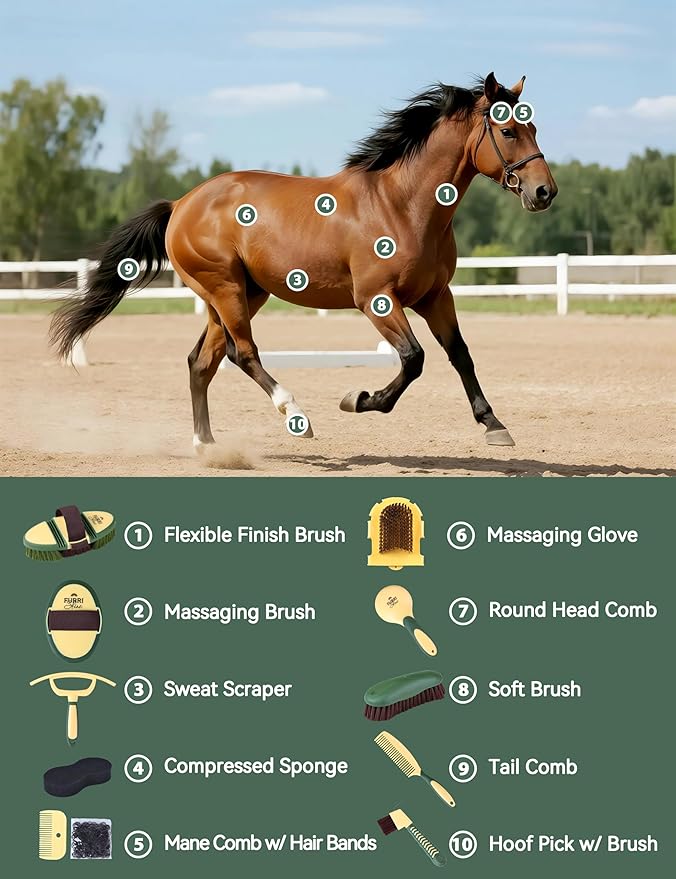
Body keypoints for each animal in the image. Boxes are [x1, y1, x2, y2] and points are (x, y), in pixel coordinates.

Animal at [51, 72, 557, 451]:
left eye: (534, 129)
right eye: (508, 130)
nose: (544, 192)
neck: (403, 204)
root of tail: (181, 204)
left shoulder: (436, 296)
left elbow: (459, 354)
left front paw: (494, 426)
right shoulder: (376, 299)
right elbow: (413, 359)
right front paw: (359, 399)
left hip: (238, 295)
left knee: (202, 361)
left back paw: (207, 446)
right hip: (225, 290)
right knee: (241, 353)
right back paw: (296, 415)